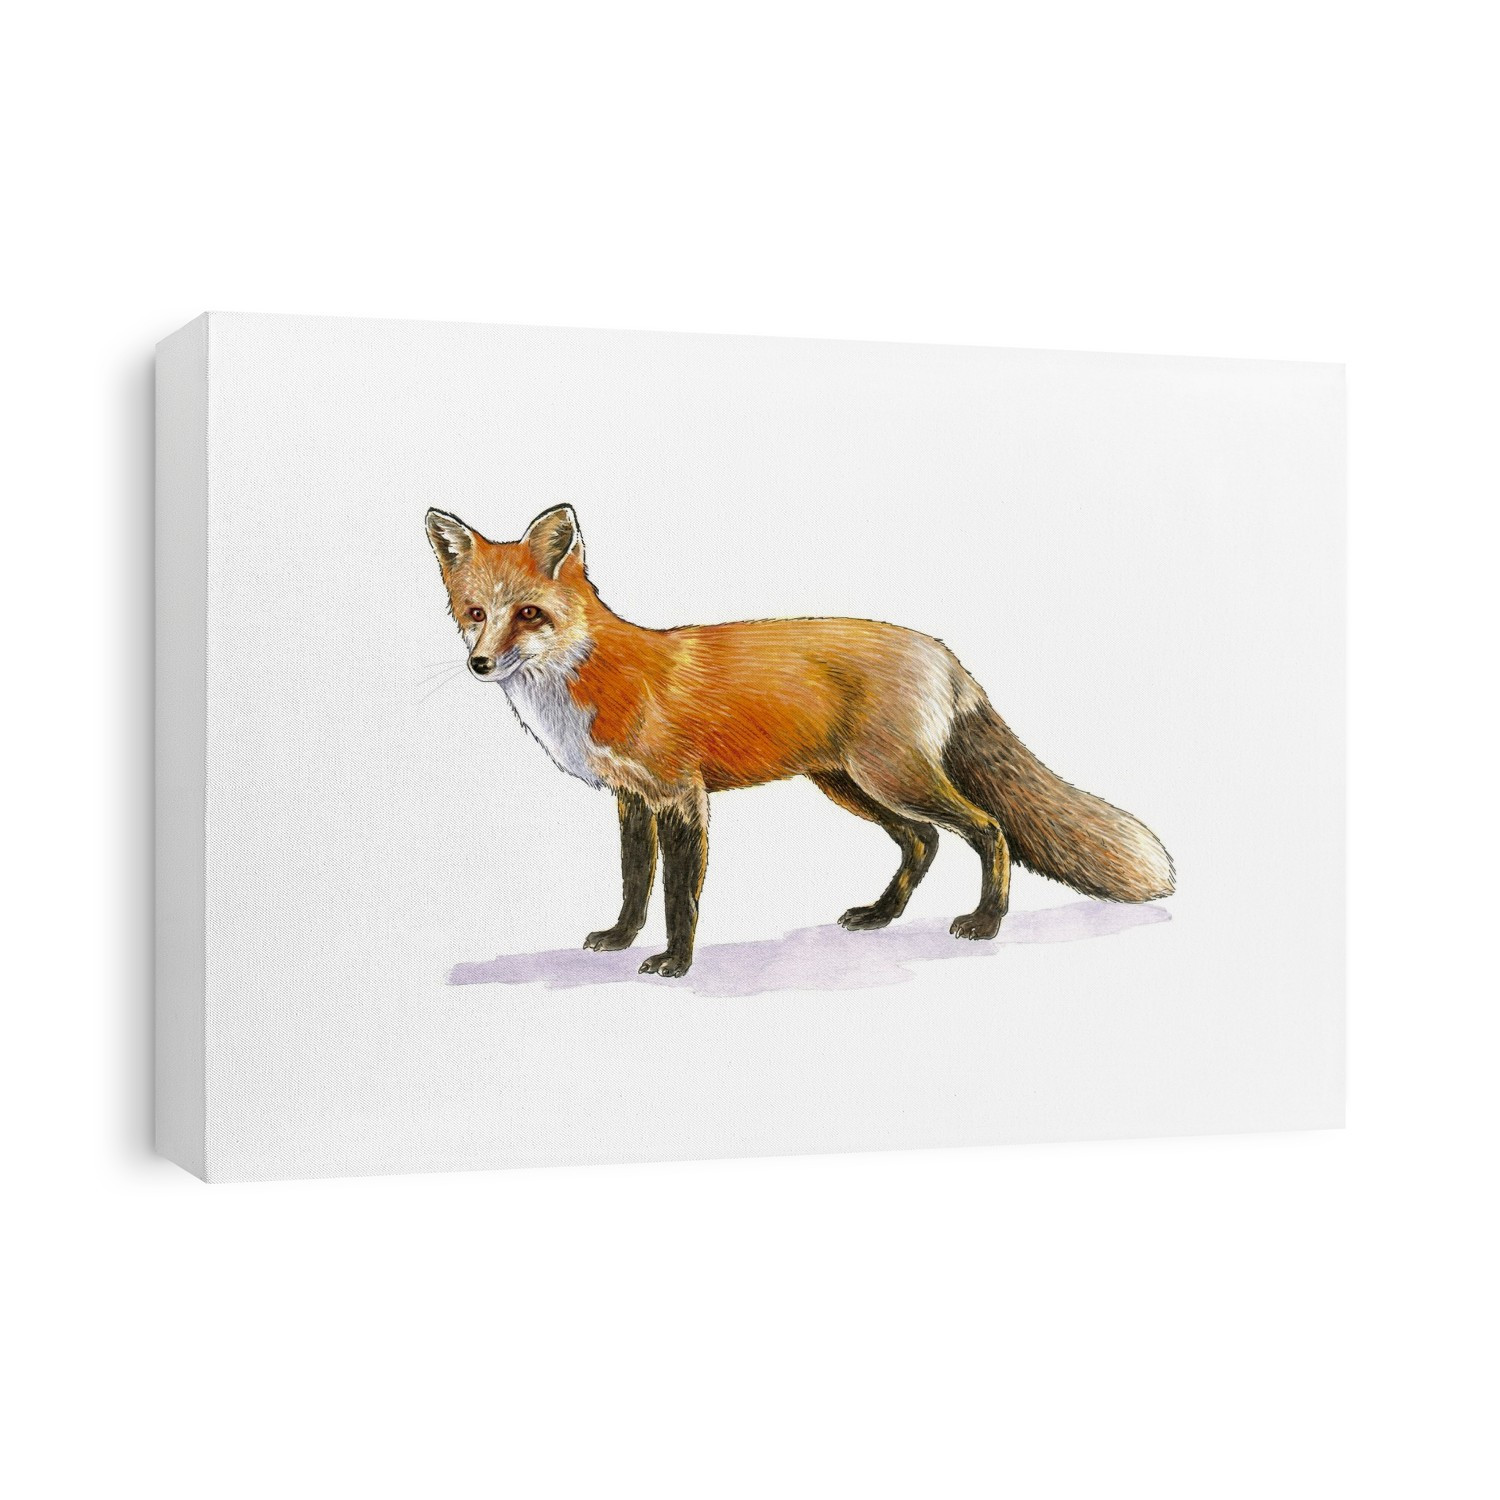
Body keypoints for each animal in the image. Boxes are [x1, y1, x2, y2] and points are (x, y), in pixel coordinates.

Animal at [426, 505, 1174, 978]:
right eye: (474, 613)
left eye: (529, 613)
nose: (480, 664)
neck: (593, 675)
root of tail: (941, 651)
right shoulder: (631, 799)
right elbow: (635, 884)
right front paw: (618, 939)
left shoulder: (682, 796)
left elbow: (678, 897)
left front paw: (675, 963)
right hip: (850, 784)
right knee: (923, 841)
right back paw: (880, 915)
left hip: (889, 777)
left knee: (988, 830)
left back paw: (985, 922)